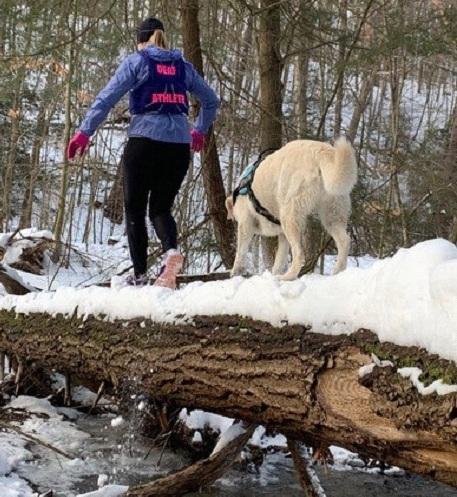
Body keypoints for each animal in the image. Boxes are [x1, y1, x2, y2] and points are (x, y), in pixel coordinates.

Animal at [226, 138, 358, 280]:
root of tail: (319, 152)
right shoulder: (282, 235)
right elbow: (279, 259)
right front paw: (274, 274)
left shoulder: (245, 224)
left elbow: (240, 251)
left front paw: (235, 271)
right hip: (332, 214)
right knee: (344, 241)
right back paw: (338, 271)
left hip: (290, 215)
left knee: (299, 253)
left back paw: (288, 276)